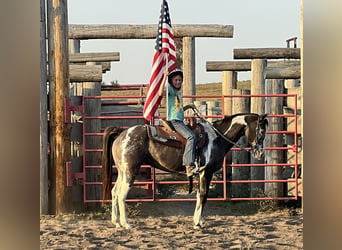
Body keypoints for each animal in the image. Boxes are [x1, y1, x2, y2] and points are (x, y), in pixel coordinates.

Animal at [101, 112, 268, 229]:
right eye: (261, 131)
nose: (260, 154)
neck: (217, 138)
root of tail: (122, 133)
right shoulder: (206, 172)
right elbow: (203, 195)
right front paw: (197, 223)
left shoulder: (202, 174)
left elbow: (199, 196)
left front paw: (197, 220)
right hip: (131, 171)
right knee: (122, 195)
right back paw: (126, 224)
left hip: (123, 172)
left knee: (114, 192)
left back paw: (116, 222)